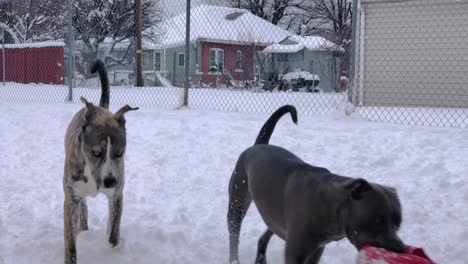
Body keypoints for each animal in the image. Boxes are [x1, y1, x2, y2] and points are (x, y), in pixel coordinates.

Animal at [63, 60, 138, 264]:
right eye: (96, 153)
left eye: (120, 153)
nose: (110, 181)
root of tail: (97, 107)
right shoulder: (71, 198)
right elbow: (70, 243)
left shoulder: (117, 195)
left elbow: (114, 229)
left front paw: (112, 252)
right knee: (83, 208)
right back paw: (83, 228)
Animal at [228, 105, 406, 264]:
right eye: (377, 220)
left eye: (398, 224)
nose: (401, 249)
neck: (330, 205)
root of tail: (258, 145)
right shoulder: (295, 252)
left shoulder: (316, 249)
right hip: (237, 204)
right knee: (234, 237)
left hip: (274, 215)